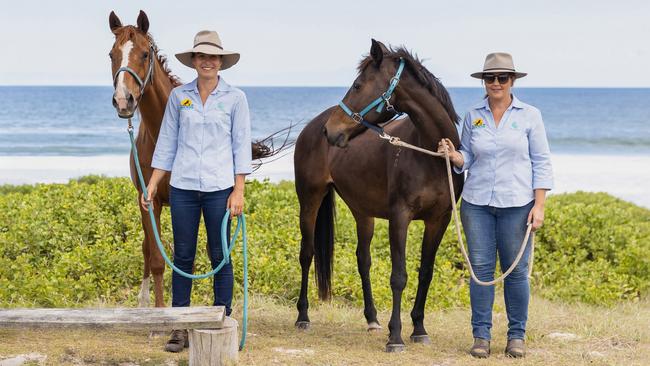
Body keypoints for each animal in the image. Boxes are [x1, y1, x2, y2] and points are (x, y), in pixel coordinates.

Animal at [294, 39, 460, 352]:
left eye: (358, 85)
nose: (330, 130)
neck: (431, 154)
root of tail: (310, 127)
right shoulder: (400, 217)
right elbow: (399, 276)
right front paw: (396, 336)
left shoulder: (439, 220)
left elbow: (425, 272)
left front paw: (419, 329)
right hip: (309, 201)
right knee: (306, 254)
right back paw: (303, 316)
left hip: (362, 211)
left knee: (363, 259)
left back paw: (372, 319)